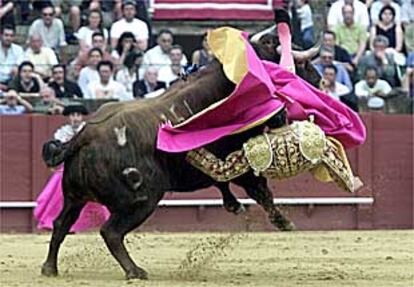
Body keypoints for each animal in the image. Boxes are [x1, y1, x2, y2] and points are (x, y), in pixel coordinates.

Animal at [40, 38, 322, 282]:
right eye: (304, 67)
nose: (320, 82)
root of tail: (85, 134)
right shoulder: (242, 162)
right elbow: (261, 190)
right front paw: (284, 222)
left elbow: (225, 183)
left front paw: (235, 205)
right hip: (141, 200)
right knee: (110, 232)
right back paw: (135, 271)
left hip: (74, 197)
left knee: (60, 224)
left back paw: (50, 268)